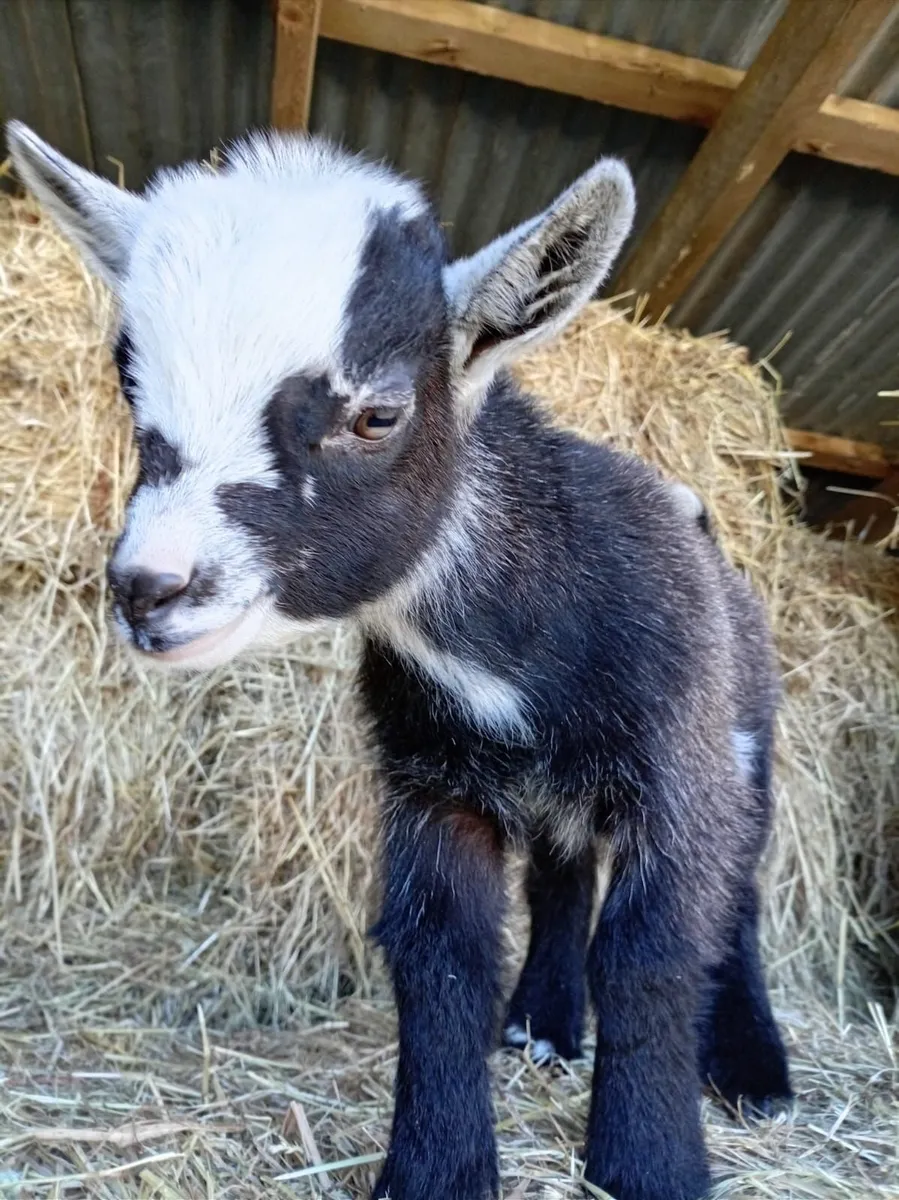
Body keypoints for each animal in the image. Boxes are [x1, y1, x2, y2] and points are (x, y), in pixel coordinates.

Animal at [7, 121, 792, 1200]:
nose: (146, 588)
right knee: (559, 879)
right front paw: (438, 1168)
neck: (520, 645)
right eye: (131, 386)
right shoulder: (431, 785)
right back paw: (542, 1023)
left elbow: (653, 953)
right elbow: (439, 962)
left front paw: (648, 1165)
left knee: (740, 888)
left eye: (375, 414)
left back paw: (752, 1066)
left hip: (743, 734)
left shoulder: (675, 761)